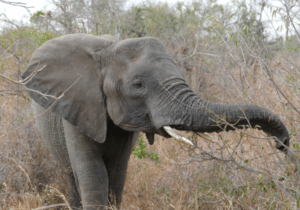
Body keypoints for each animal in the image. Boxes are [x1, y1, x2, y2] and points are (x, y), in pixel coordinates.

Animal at [22, 33, 290, 209]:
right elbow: (93, 174)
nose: (283, 144)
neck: (107, 50)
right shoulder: (79, 105)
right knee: (71, 174)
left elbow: (117, 175)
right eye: (138, 85)